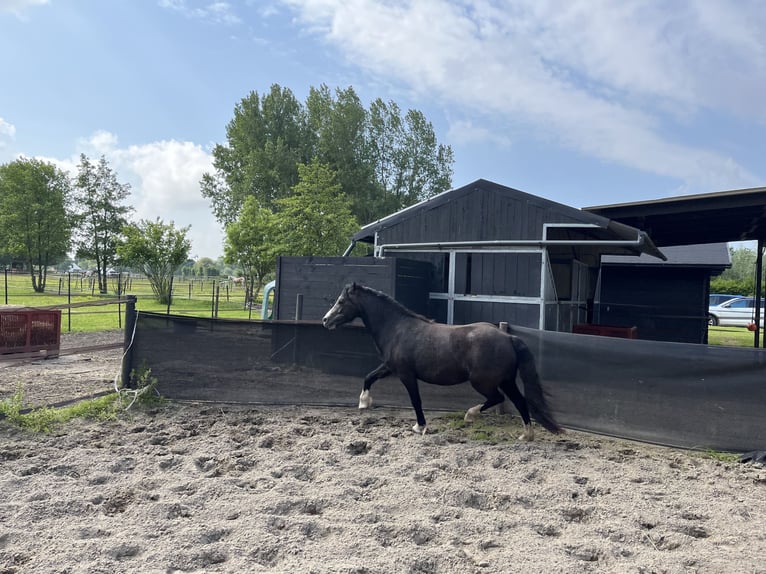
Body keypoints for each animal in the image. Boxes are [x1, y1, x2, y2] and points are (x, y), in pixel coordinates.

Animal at [320, 284, 564, 440]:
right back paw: (526, 435)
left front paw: (420, 427)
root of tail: (508, 337)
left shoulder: (406, 374)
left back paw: (470, 415)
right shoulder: (390, 368)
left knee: (497, 398)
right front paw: (363, 403)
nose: (325, 320)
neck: (397, 329)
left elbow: (416, 400)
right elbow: (369, 377)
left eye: (341, 301)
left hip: (483, 382)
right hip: (506, 380)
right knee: (520, 401)